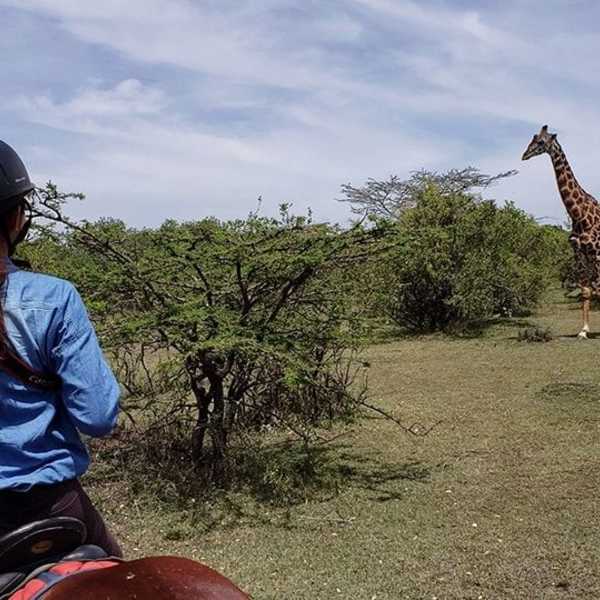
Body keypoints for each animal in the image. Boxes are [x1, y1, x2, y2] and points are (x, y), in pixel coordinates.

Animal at [524, 123, 600, 338]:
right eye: (533, 137)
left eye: (542, 142)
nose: (524, 155)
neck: (579, 214)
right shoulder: (578, 252)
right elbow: (586, 291)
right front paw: (583, 331)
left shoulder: (596, 253)